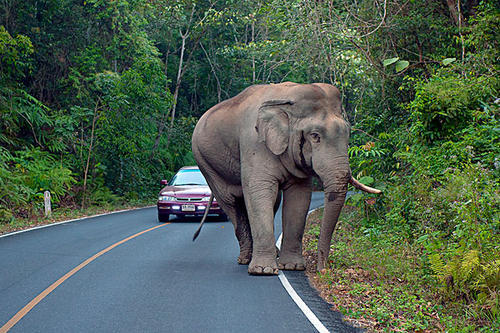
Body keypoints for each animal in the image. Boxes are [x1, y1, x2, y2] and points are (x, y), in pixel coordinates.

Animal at [191, 81, 378, 274]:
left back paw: (268, 254)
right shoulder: (254, 142)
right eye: (315, 136)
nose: (322, 270)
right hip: (204, 162)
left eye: (348, 134)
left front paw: (292, 266)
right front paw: (263, 270)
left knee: (271, 202)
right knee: (231, 203)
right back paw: (245, 259)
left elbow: (298, 197)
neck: (288, 97)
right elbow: (259, 191)